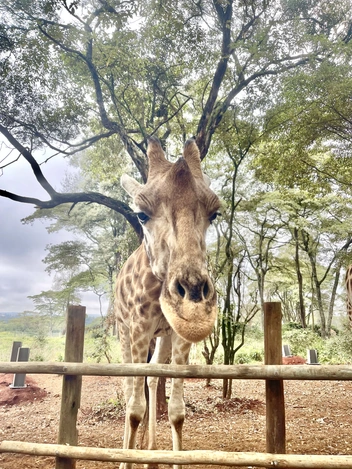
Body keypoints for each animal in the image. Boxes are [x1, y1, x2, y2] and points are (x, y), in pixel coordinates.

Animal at [115, 137, 220, 468]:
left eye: (215, 214)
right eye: (141, 214)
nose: (194, 311)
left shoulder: (178, 335)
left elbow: (176, 412)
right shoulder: (138, 328)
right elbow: (134, 409)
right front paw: (125, 459)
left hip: (162, 336)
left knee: (150, 377)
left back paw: (149, 452)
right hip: (125, 332)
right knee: (129, 390)